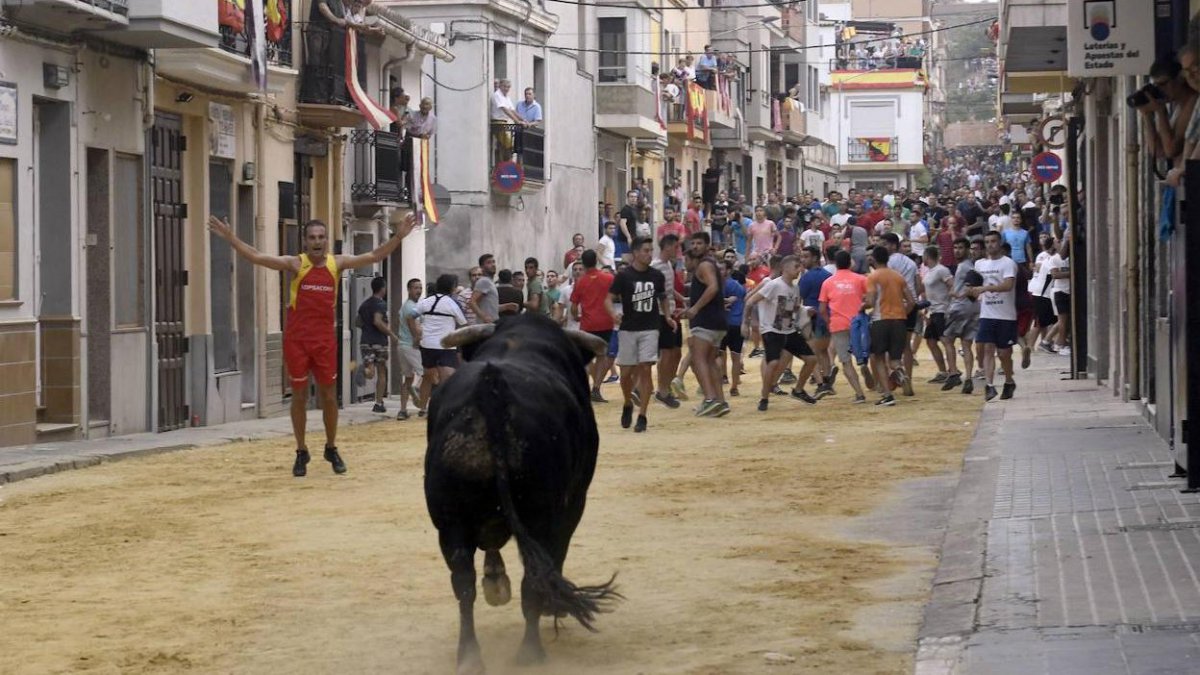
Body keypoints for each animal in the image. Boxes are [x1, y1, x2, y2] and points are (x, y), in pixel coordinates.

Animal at [422, 314, 624, 672]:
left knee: (463, 583)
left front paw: (495, 581)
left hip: (450, 523)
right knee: (532, 578)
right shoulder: (573, 503)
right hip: (541, 516)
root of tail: (492, 389)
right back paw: (531, 651)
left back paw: (469, 656)